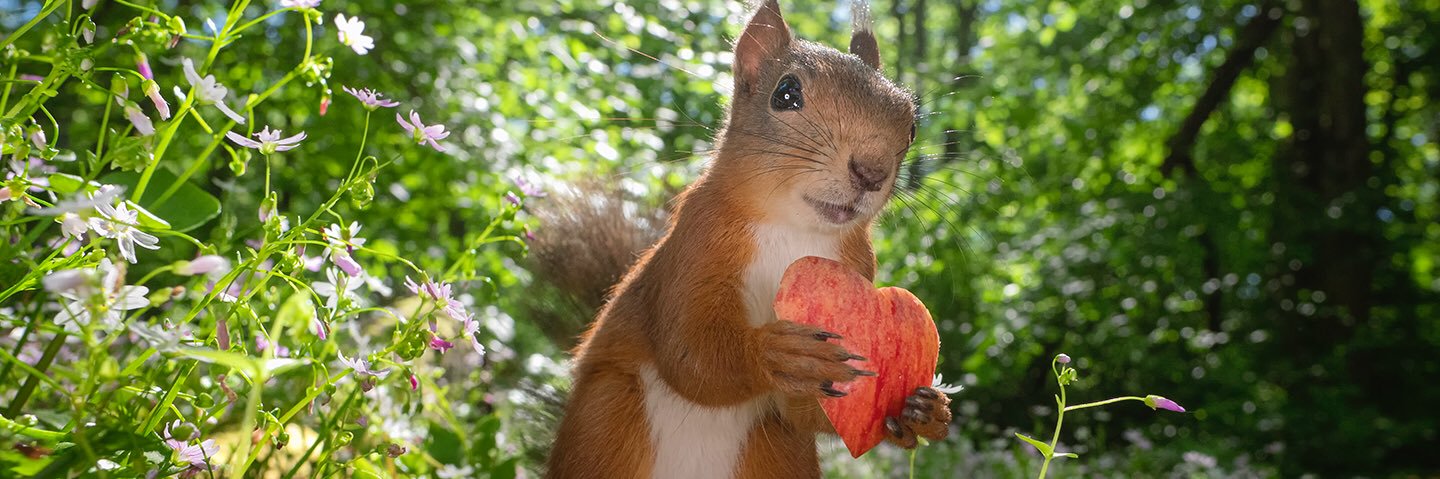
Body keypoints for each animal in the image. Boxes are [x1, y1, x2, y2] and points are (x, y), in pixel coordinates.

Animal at [544, 1, 952, 478]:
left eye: (911, 126)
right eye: (786, 94)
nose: (871, 171)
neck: (793, 228)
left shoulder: (860, 266)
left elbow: (810, 412)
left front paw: (922, 411)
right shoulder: (695, 244)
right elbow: (690, 356)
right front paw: (775, 353)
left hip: (777, 450)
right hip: (606, 418)